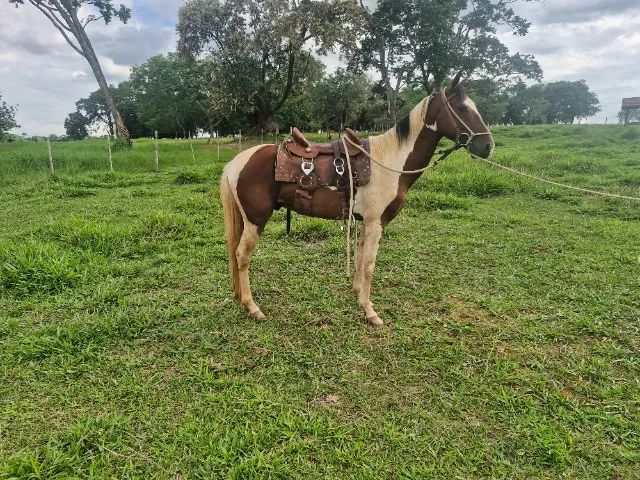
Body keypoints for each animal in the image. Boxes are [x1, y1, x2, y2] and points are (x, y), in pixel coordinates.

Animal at [220, 72, 494, 326]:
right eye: (462, 108)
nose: (487, 146)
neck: (388, 162)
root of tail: (235, 162)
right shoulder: (375, 223)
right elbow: (370, 264)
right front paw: (370, 311)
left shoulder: (365, 222)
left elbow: (361, 258)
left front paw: (358, 295)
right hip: (256, 220)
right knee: (242, 256)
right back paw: (252, 307)